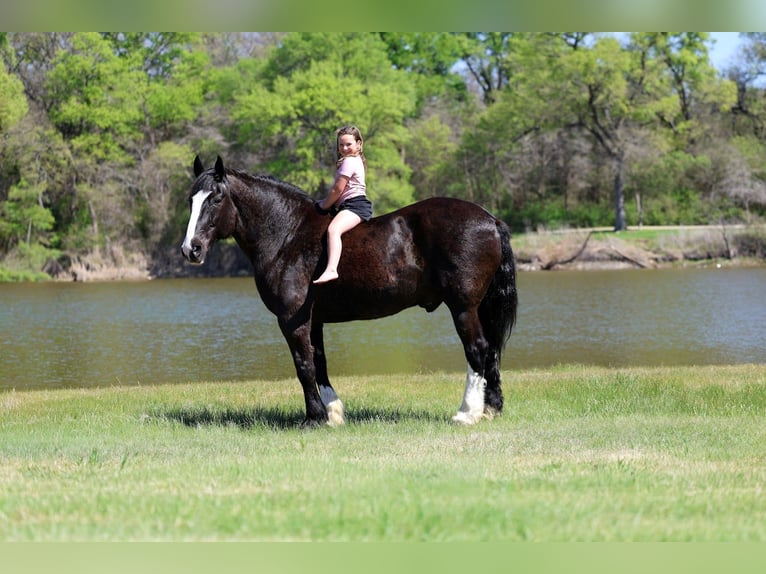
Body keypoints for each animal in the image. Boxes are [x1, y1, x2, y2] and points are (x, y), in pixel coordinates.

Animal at [181, 156, 518, 427]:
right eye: (190, 200)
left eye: (216, 198)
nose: (190, 249)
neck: (287, 235)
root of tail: (490, 219)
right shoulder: (313, 320)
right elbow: (319, 363)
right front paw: (333, 414)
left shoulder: (292, 320)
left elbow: (303, 365)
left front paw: (313, 418)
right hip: (480, 307)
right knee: (492, 351)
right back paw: (491, 408)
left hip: (463, 307)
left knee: (477, 349)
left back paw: (467, 413)